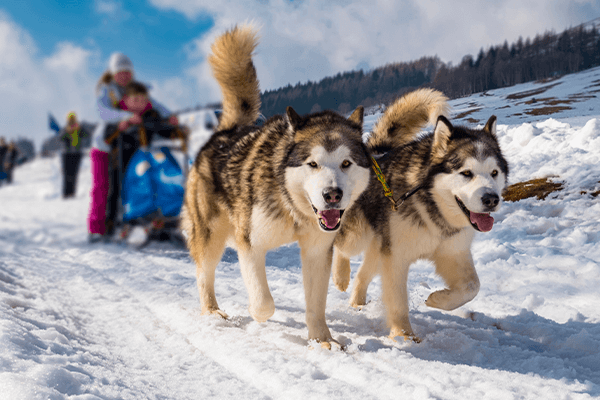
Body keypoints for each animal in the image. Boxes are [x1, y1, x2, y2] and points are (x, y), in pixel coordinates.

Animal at [332, 90, 506, 340]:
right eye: (466, 173)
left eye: (494, 173)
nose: (491, 199)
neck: (433, 209)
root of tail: (371, 154)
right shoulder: (395, 257)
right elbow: (398, 301)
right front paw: (403, 335)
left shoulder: (452, 251)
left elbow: (472, 286)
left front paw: (438, 300)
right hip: (358, 236)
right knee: (341, 246)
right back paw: (340, 276)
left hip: (379, 245)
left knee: (364, 273)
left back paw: (357, 302)